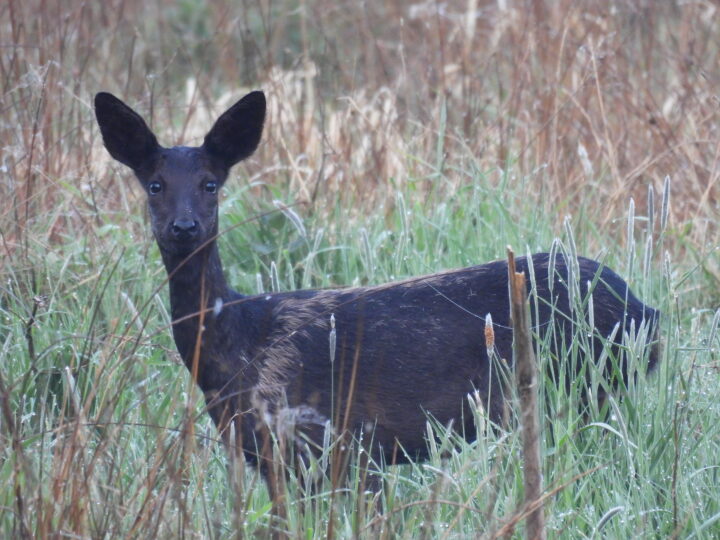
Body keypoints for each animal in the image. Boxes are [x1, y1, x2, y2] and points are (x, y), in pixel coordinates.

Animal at [94, 90, 659, 497]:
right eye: (154, 185)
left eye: (211, 184)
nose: (184, 227)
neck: (237, 350)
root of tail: (645, 309)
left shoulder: (328, 442)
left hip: (584, 384)